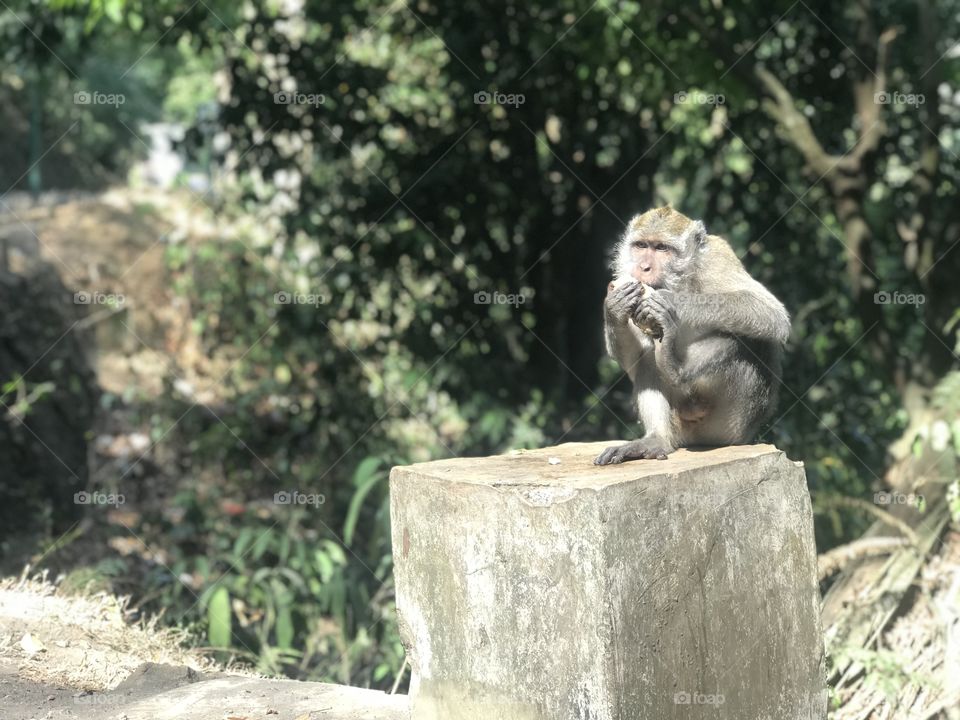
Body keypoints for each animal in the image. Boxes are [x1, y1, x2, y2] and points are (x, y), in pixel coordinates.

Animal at [594, 206, 790, 465]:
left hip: (730, 425)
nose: (643, 267)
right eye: (641, 245)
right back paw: (656, 439)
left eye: (661, 248)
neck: (682, 280)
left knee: (748, 339)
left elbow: (771, 313)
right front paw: (614, 307)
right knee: (649, 359)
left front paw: (671, 301)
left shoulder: (718, 258)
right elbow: (635, 357)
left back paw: (674, 369)